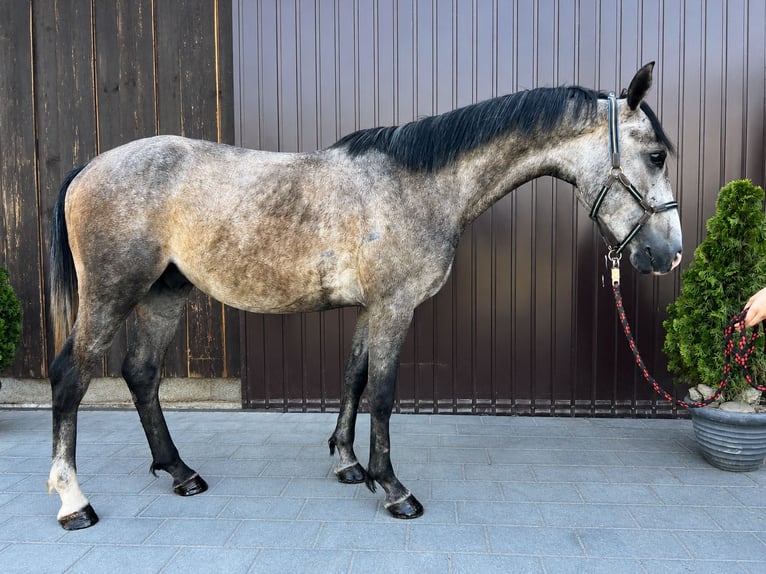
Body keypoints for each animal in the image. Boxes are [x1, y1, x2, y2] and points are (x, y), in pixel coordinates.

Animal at [47, 62, 682, 529]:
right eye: (656, 156)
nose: (669, 254)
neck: (421, 184)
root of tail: (88, 167)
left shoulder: (369, 310)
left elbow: (353, 379)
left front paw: (348, 465)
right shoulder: (394, 307)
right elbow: (382, 392)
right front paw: (393, 488)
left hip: (163, 294)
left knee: (141, 373)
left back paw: (181, 473)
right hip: (111, 294)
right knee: (71, 376)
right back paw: (74, 502)